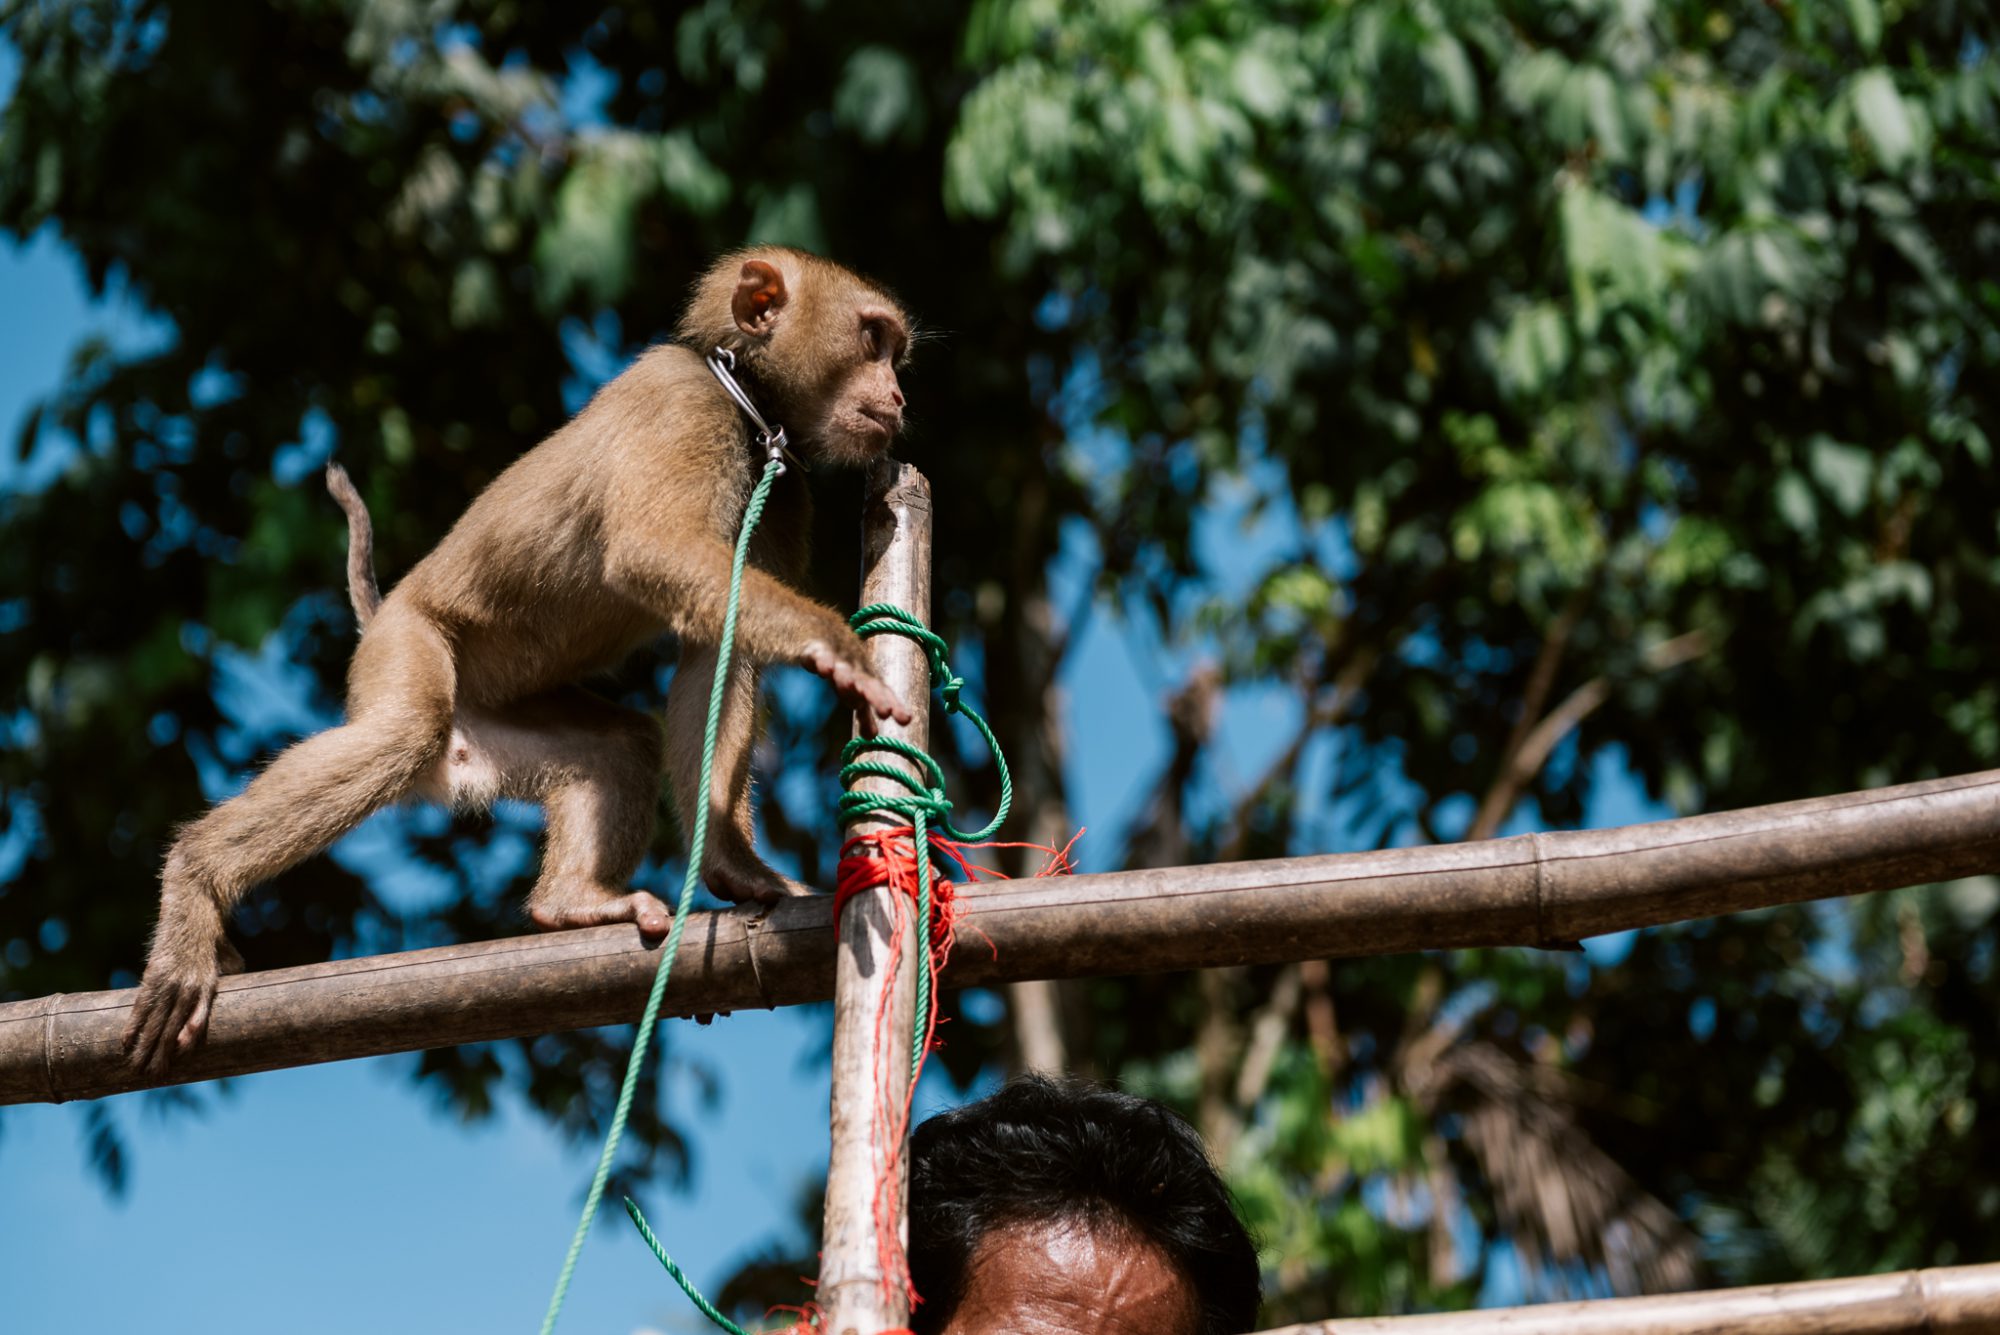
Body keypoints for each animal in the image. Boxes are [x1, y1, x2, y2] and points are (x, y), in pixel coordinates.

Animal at [129, 244, 924, 1071]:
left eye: (893, 351)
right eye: (872, 339)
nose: (898, 396)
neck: (745, 401)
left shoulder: (787, 490)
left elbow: (721, 647)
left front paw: (736, 864)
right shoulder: (684, 409)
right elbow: (654, 552)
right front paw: (837, 647)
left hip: (494, 725)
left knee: (617, 744)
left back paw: (570, 902)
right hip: (408, 643)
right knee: (403, 731)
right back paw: (196, 877)